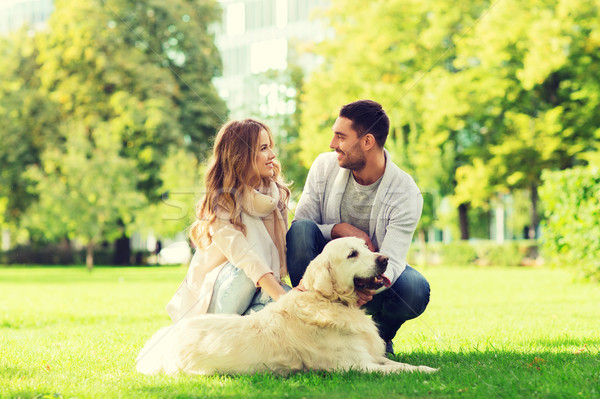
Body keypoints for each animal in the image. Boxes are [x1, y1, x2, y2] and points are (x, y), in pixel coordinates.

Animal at [136, 238, 436, 376]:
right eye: (352, 254)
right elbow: (396, 369)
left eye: (366, 247)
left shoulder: (370, 356)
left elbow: (396, 363)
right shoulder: (355, 365)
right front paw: (429, 371)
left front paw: (425, 368)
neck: (327, 301)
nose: (384, 259)